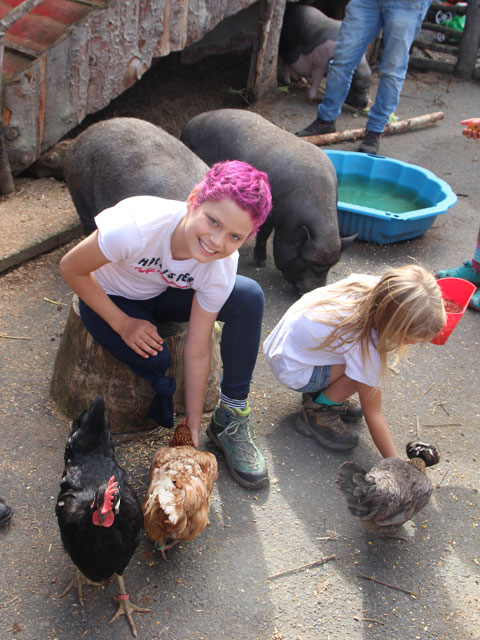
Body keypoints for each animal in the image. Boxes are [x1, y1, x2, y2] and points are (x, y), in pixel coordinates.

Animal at [180, 109, 356, 294]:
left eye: (330, 267)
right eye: (304, 262)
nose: (311, 290)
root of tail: (191, 122)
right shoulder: (268, 214)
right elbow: (264, 234)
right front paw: (261, 262)